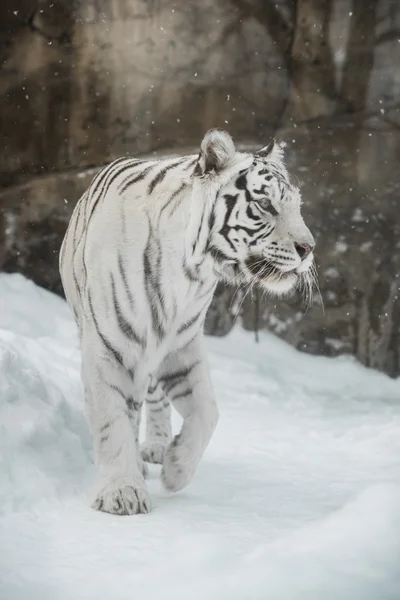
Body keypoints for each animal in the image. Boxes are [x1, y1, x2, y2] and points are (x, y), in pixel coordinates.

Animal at [59, 130, 316, 516]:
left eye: (295, 205)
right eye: (265, 204)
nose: (308, 248)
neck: (191, 271)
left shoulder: (182, 345)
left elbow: (207, 411)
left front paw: (176, 469)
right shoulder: (107, 347)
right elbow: (111, 419)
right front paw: (122, 493)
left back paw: (156, 447)